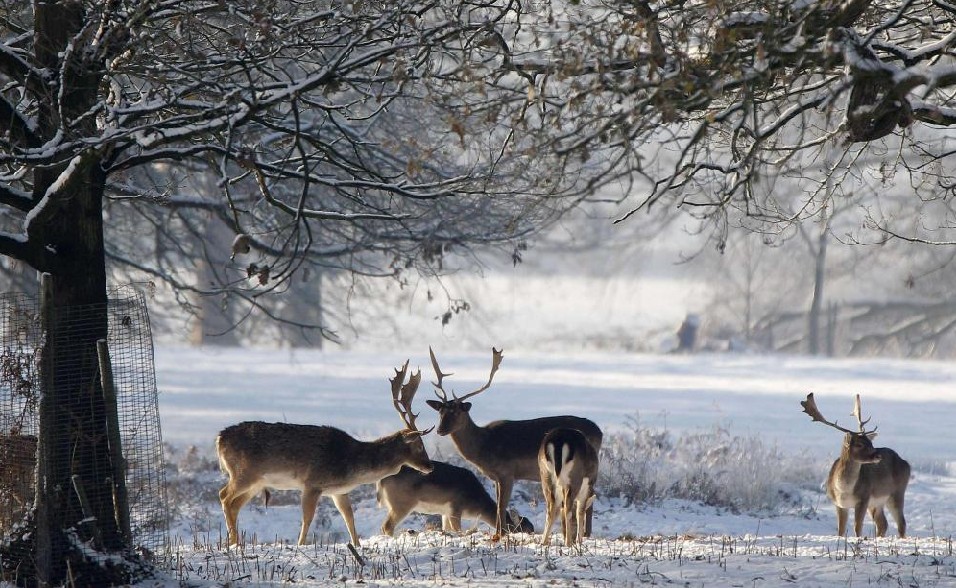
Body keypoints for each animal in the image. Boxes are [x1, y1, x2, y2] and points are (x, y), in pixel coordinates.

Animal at [217, 360, 434, 548]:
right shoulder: (312, 483)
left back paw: (234, 541)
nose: (430, 466)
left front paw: (356, 545)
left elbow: (349, 517)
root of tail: (219, 439)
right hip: (243, 472)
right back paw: (233, 540)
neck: (351, 464)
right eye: (419, 445)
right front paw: (301, 544)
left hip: (257, 482)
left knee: (235, 504)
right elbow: (307, 518)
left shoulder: (339, 492)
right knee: (224, 496)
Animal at [376, 460, 536, 536]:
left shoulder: (445, 512)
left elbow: (447, 529)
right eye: (523, 530)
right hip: (401, 504)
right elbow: (457, 530)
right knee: (387, 526)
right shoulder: (455, 508)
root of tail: (381, 480)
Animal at [422, 346, 600, 540]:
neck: (484, 445)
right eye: (440, 412)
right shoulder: (496, 477)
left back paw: (585, 534)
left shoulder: (507, 472)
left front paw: (499, 535)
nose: (440, 430)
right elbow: (499, 504)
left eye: (456, 411)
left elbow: (501, 505)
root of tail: (599, 431)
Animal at [800, 392, 912, 540]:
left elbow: (857, 527)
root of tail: (905, 463)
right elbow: (841, 529)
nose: (878, 455)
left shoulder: (863, 499)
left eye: (870, 443)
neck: (843, 490)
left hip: (897, 492)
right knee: (883, 523)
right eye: (859, 444)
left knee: (901, 523)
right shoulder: (839, 504)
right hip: (877, 503)